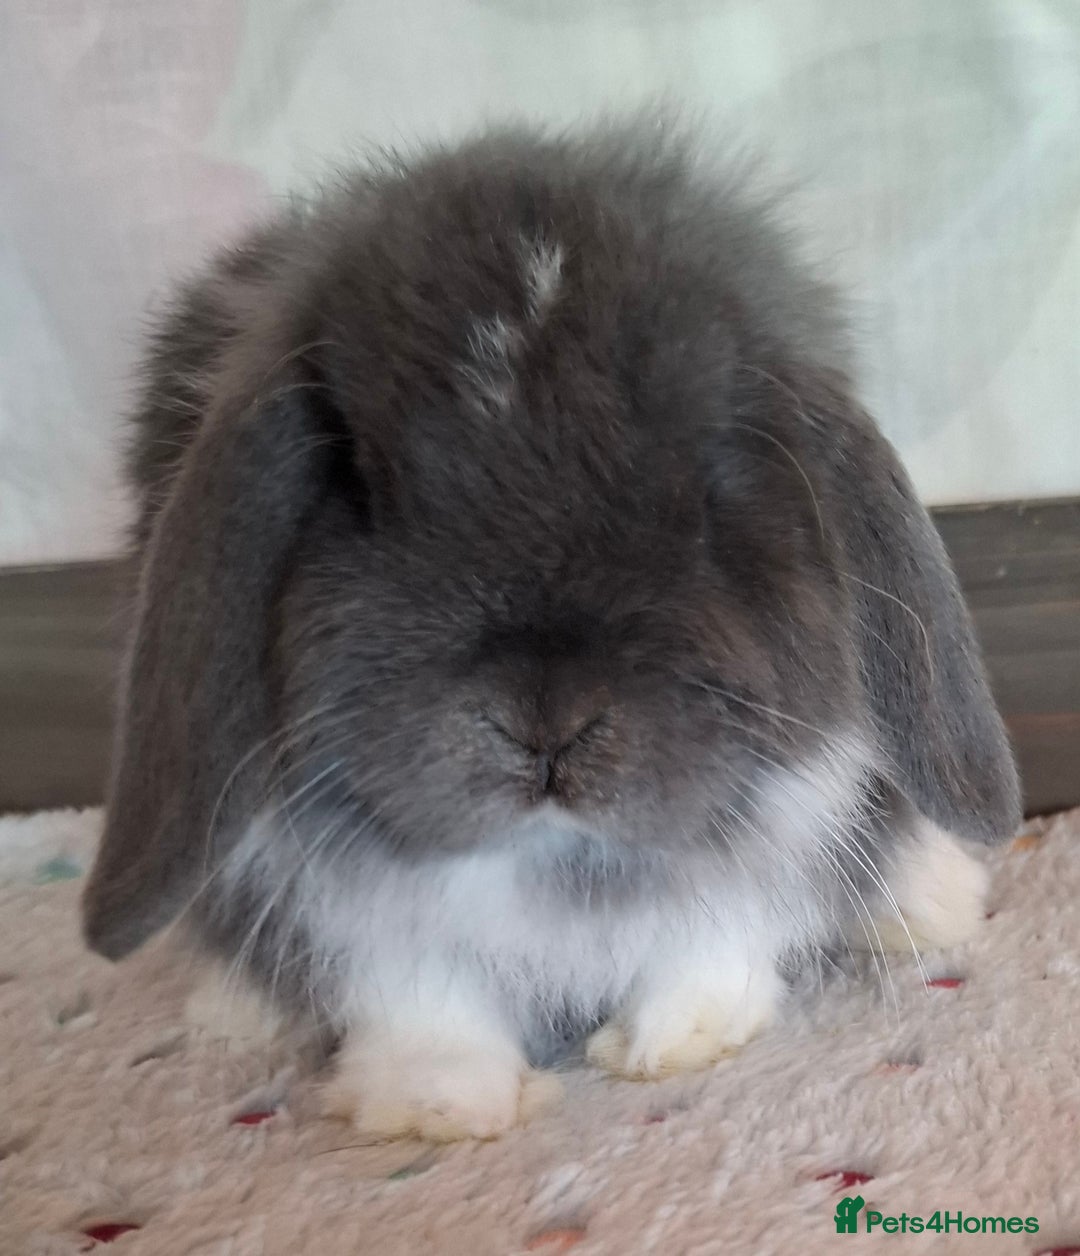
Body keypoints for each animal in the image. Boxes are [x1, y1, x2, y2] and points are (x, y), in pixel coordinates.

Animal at [82, 121, 1020, 1142]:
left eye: (708, 483)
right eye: (358, 481)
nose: (546, 724)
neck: (553, 862)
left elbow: (716, 938)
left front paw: (677, 1042)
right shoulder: (338, 907)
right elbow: (410, 992)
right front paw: (440, 1104)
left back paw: (937, 905)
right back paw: (234, 1015)